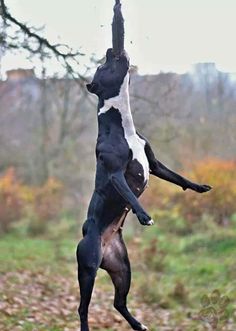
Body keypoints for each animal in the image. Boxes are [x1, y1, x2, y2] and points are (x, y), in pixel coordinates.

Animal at [76, 1, 211, 330]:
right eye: (103, 67)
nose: (111, 50)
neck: (120, 122)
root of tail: (104, 244)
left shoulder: (155, 163)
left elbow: (177, 177)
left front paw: (198, 187)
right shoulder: (115, 173)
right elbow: (129, 194)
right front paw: (144, 215)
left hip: (123, 269)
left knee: (118, 301)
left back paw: (138, 324)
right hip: (88, 268)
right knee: (83, 307)